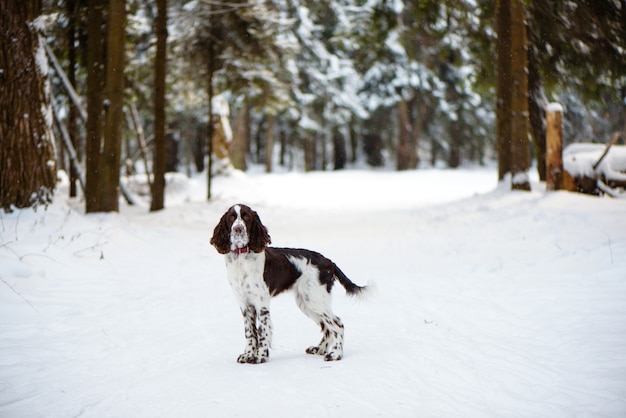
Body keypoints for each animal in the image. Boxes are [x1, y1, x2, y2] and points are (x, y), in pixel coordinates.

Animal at [210, 203, 366, 362]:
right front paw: (248, 354)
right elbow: (249, 332)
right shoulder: (244, 303)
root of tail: (328, 262)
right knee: (327, 327)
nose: (238, 229)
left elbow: (262, 331)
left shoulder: (261, 303)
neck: (241, 259)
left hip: (315, 299)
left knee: (337, 324)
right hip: (306, 302)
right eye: (231, 218)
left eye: (246, 217)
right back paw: (320, 349)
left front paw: (260, 356)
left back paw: (336, 354)